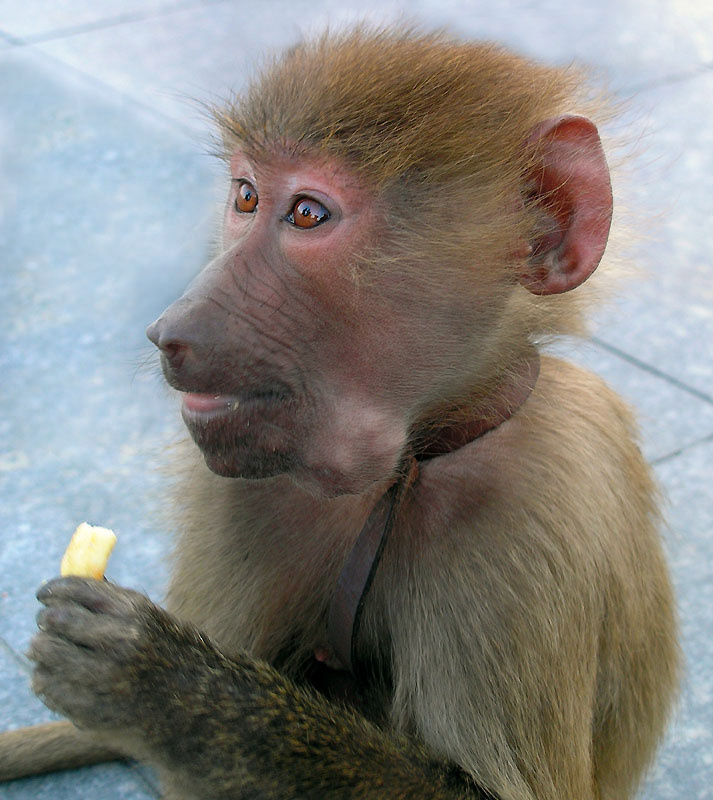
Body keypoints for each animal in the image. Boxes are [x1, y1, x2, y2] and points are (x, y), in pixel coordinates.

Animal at [0, 26, 679, 800]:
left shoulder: (529, 503)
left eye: (306, 214)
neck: (410, 461)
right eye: (245, 196)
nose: (172, 330)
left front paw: (165, 689)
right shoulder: (243, 487)